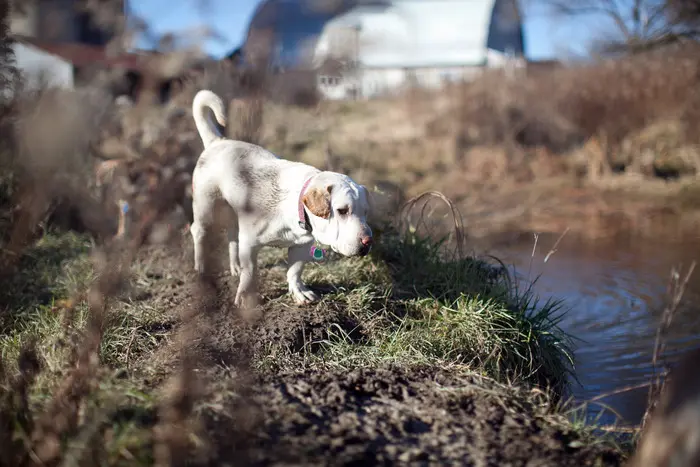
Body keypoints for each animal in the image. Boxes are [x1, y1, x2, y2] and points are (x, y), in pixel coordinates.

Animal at [186, 90, 372, 308]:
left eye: (366, 212)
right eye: (342, 211)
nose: (368, 241)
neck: (294, 208)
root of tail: (217, 141)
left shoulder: (301, 246)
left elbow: (295, 270)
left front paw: (299, 292)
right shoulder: (250, 244)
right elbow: (250, 273)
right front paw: (245, 297)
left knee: (232, 236)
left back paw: (235, 267)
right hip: (205, 207)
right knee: (199, 232)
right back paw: (201, 268)